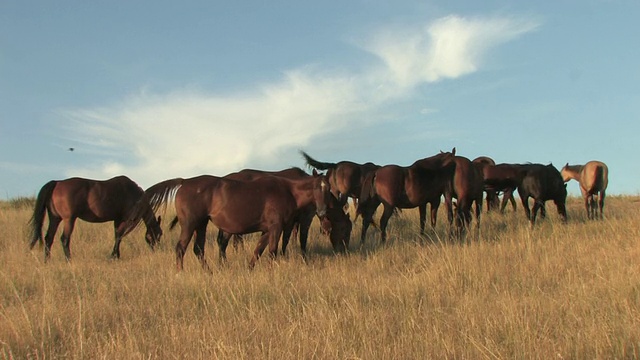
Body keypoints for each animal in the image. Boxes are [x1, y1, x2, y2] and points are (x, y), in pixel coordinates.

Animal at [28, 176, 162, 260]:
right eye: (159, 234)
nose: (157, 250)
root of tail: (57, 182)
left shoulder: (117, 219)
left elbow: (117, 236)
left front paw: (116, 255)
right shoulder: (125, 219)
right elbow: (119, 236)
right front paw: (113, 256)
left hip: (55, 219)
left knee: (49, 239)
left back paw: (47, 261)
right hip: (69, 219)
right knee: (64, 239)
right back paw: (69, 260)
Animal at [138, 172, 332, 270]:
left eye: (328, 188)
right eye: (316, 187)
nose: (322, 211)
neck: (287, 191)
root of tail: (184, 182)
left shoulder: (267, 229)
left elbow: (258, 251)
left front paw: (250, 269)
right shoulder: (276, 228)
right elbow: (272, 251)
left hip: (201, 224)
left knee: (198, 249)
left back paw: (209, 272)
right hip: (189, 224)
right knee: (180, 249)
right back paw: (181, 272)